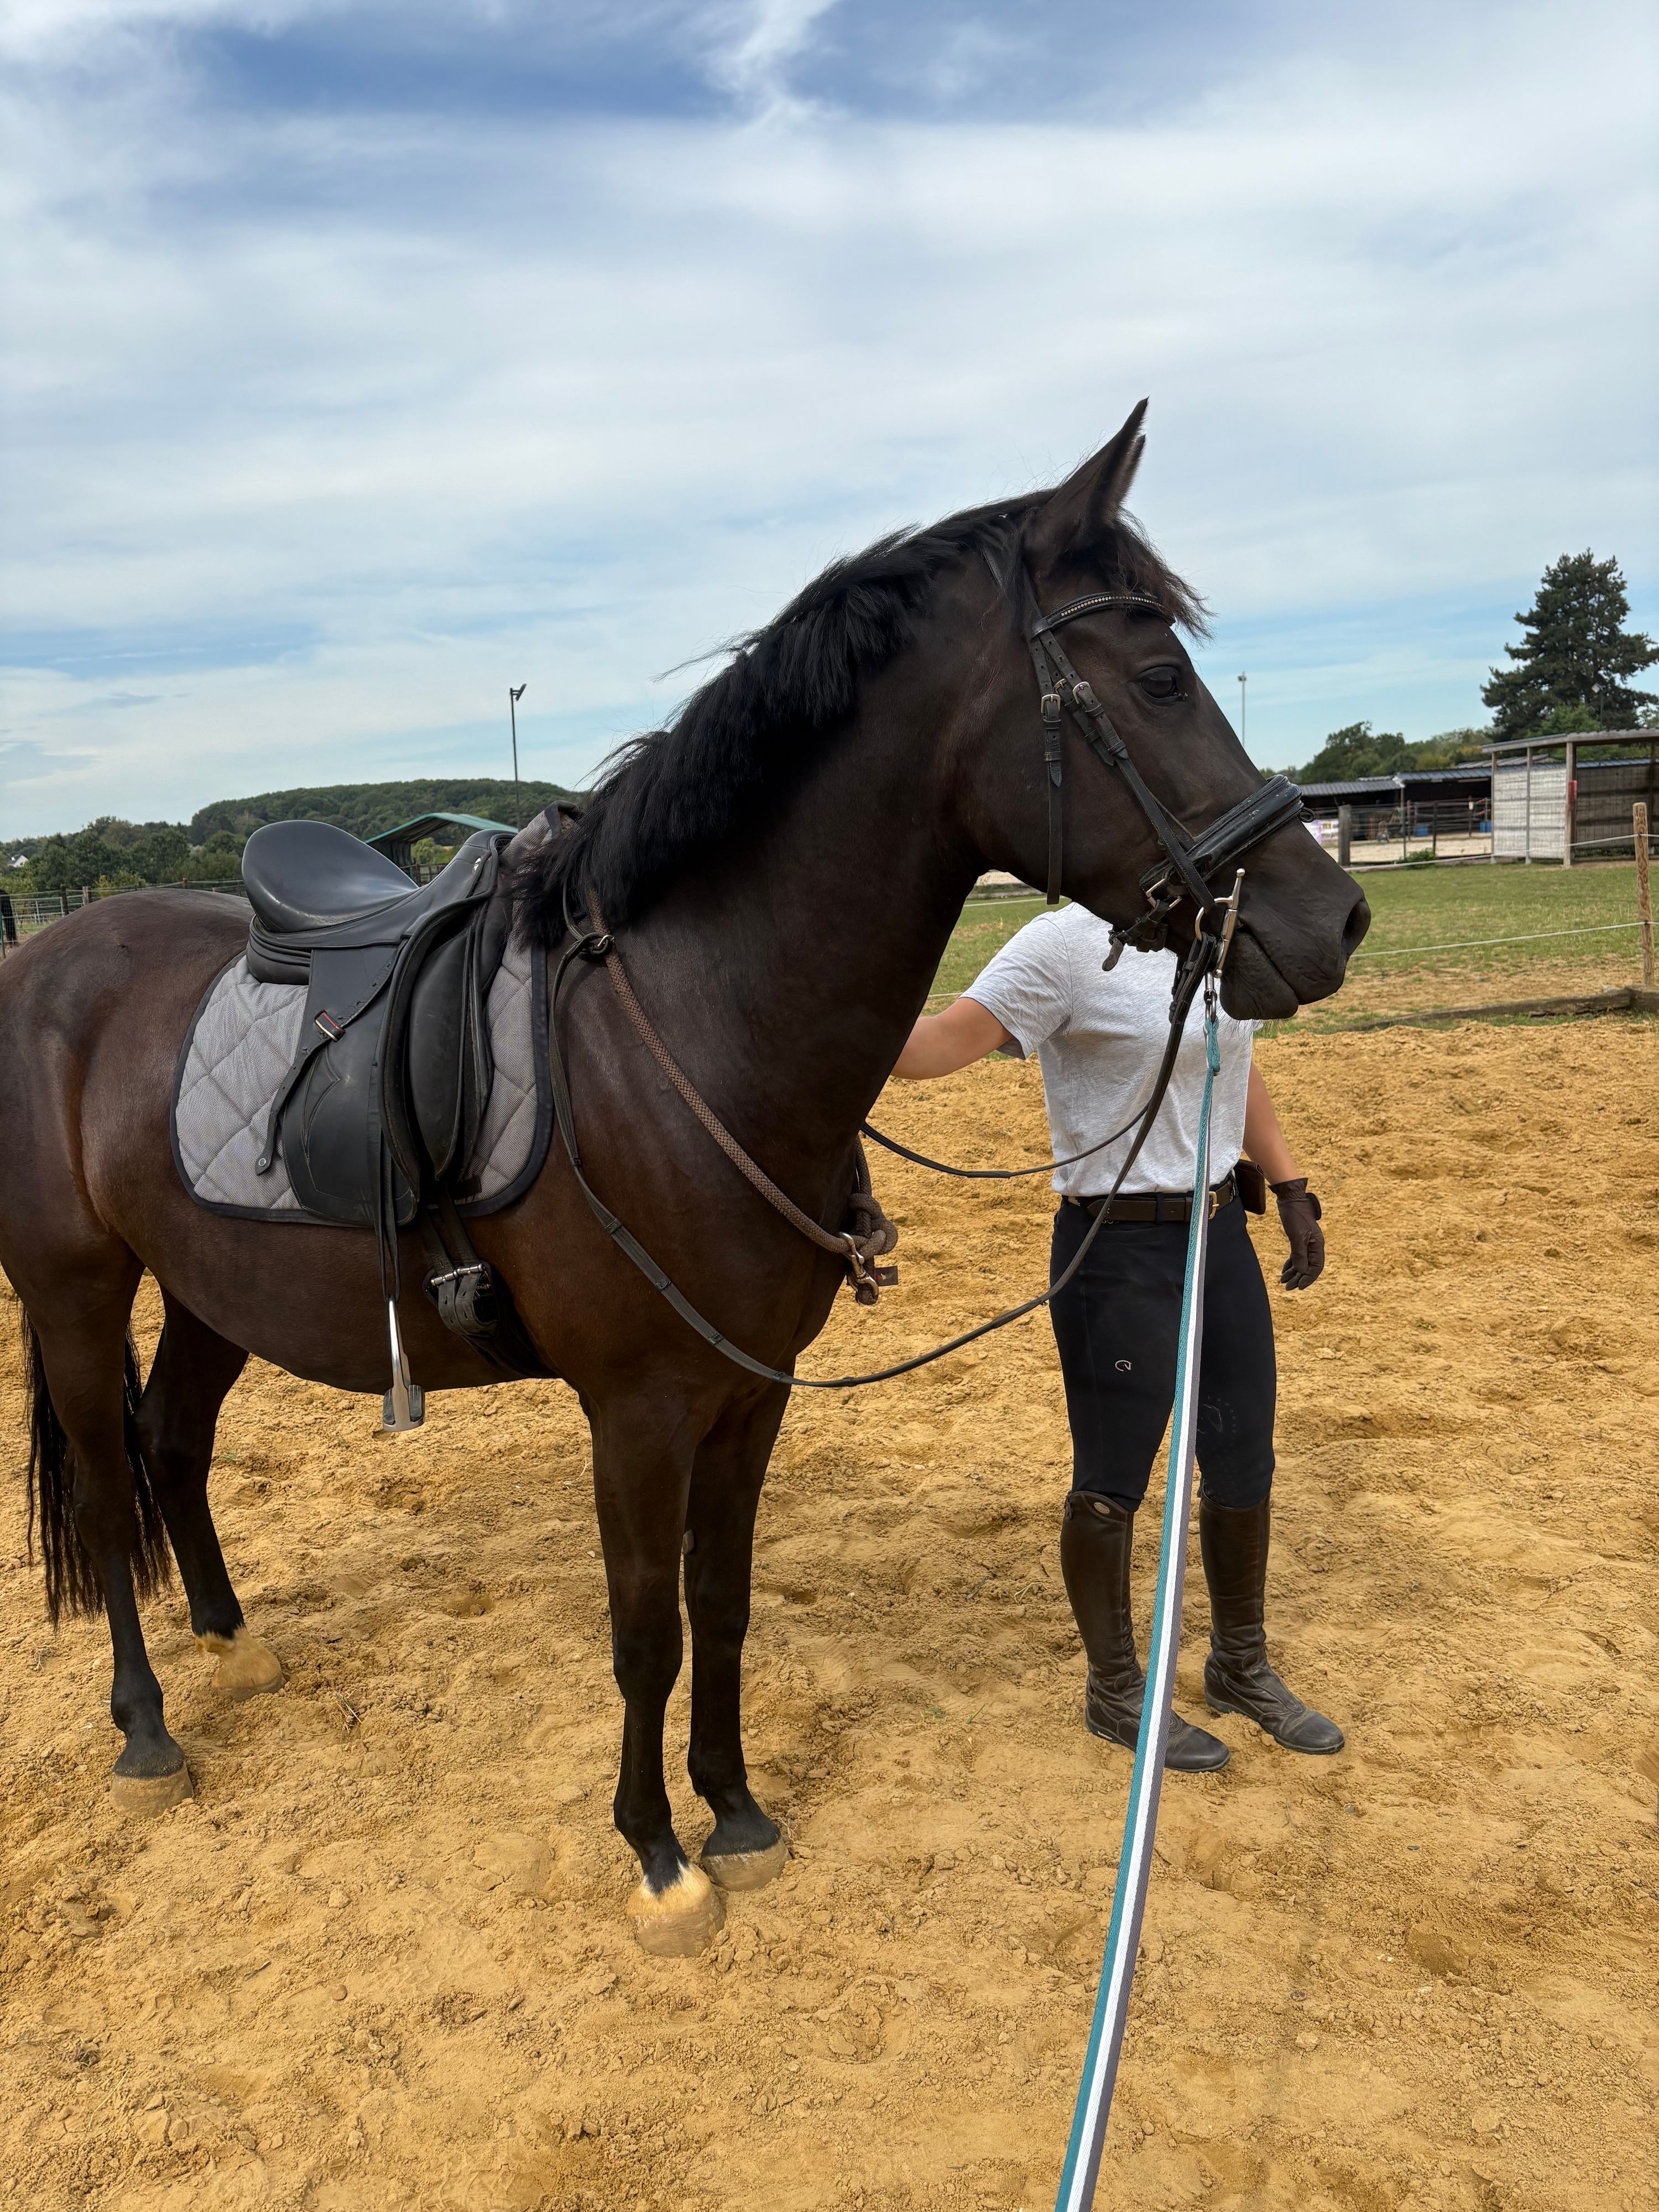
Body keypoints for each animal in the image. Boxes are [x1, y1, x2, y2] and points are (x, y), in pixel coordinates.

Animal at [0, 408, 1368, 1957]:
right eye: (1158, 677)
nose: (1333, 919)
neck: (696, 1025)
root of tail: (49, 957)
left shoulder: (749, 1390)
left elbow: (722, 1601)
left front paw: (738, 1806)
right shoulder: (640, 1406)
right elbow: (645, 1625)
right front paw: (657, 1848)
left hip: (211, 1286)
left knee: (173, 1441)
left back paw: (229, 1643)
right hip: (74, 1289)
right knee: (105, 1485)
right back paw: (147, 1725)